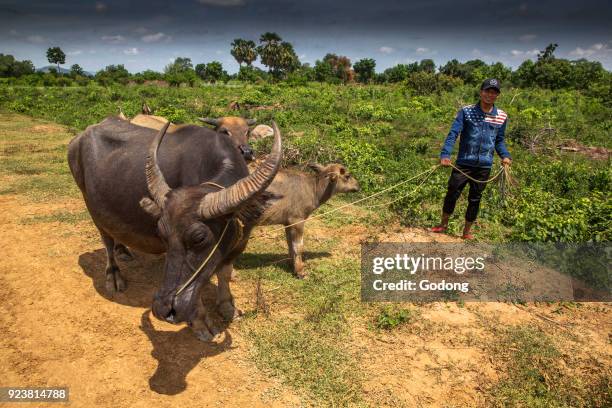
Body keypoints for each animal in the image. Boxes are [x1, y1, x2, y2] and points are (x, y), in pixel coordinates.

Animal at [68, 116, 284, 340]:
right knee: (106, 239)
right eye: (163, 236)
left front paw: (228, 307)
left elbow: (224, 272)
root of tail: (79, 139)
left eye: (199, 238)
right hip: (91, 206)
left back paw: (124, 250)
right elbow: (198, 288)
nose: (163, 309)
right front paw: (200, 323)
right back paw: (114, 275)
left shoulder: (239, 241)